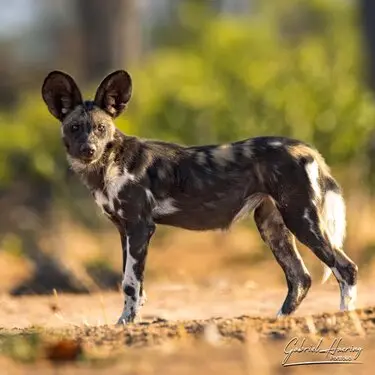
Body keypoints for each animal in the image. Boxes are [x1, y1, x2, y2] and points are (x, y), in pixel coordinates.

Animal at [41, 71, 358, 326]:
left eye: (101, 128)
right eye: (74, 128)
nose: (88, 150)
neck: (108, 164)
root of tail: (306, 148)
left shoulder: (140, 227)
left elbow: (130, 284)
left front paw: (124, 325)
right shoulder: (125, 231)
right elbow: (134, 284)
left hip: (301, 219)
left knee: (345, 268)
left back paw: (345, 317)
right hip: (272, 226)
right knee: (299, 278)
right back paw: (277, 321)